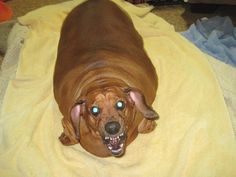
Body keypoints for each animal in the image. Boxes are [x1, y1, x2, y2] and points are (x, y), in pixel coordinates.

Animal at [53, 0, 159, 158]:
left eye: (120, 104)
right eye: (94, 110)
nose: (112, 127)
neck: (101, 78)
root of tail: (93, 2)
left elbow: (144, 126)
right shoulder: (67, 117)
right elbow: (70, 131)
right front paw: (67, 136)